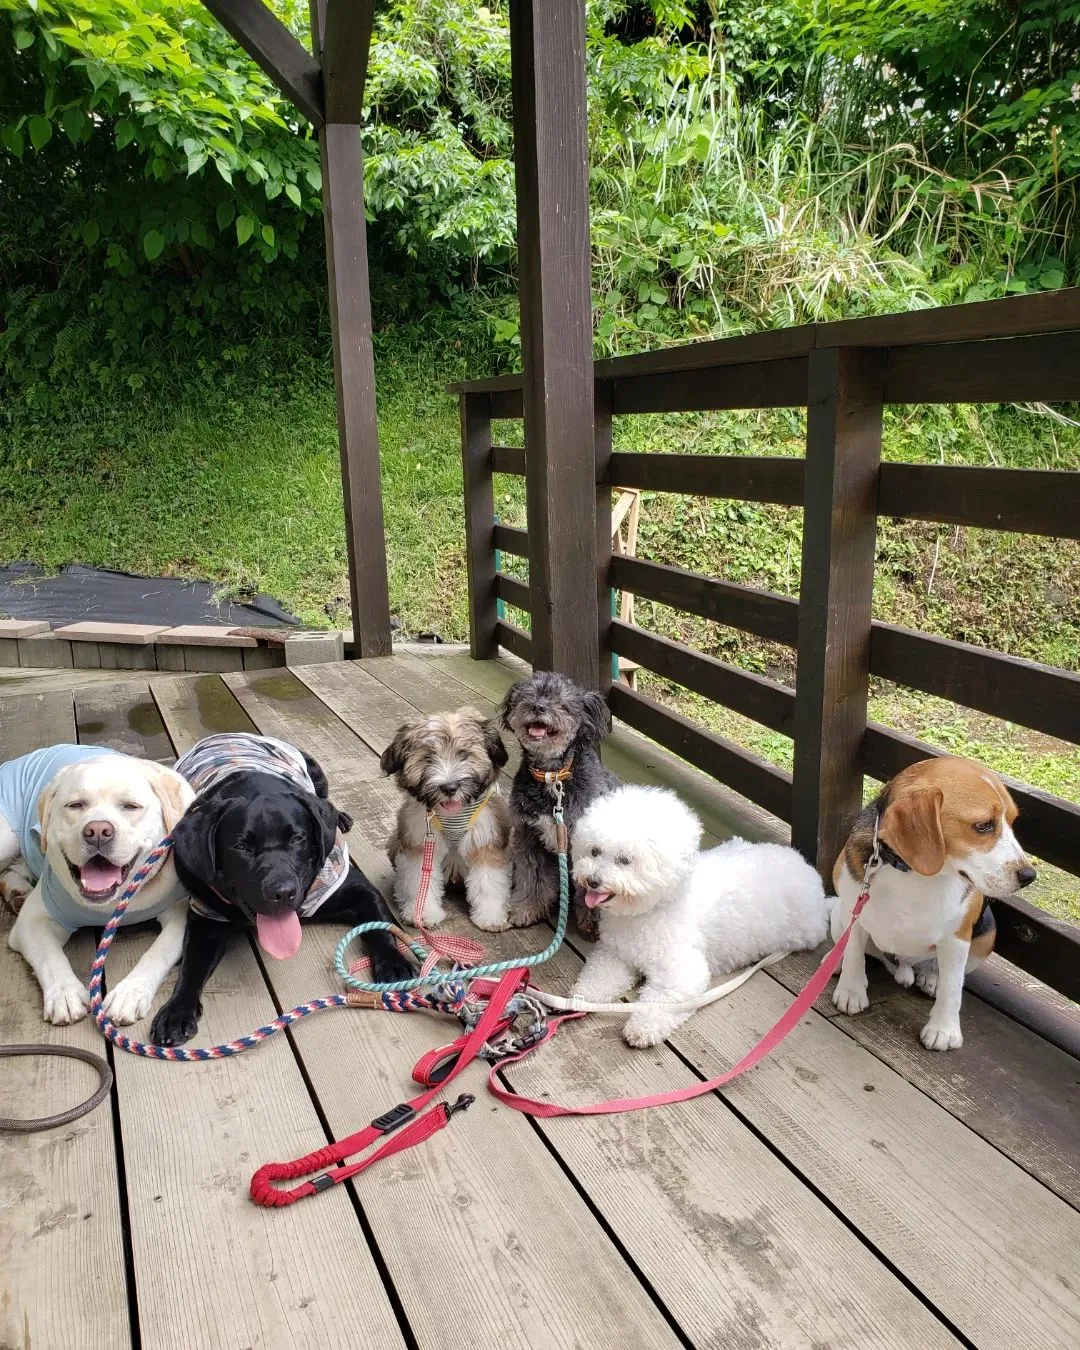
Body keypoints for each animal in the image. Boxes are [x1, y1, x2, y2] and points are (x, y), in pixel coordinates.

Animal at [496, 672, 615, 934]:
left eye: (562, 704)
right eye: (527, 696)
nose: (538, 707)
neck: (553, 776)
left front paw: (595, 922)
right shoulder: (530, 838)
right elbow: (533, 879)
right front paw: (526, 909)